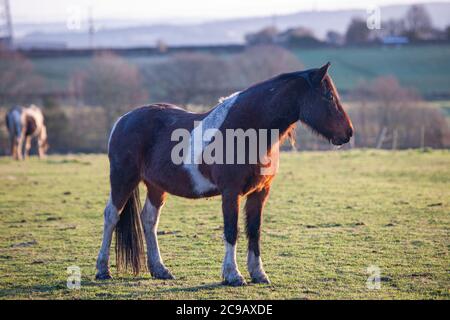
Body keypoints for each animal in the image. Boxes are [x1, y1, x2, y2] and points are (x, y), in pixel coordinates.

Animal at [96, 62, 354, 284]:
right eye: (329, 97)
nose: (348, 132)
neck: (247, 130)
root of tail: (122, 120)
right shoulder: (231, 192)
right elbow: (232, 230)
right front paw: (233, 275)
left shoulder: (260, 193)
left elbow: (254, 231)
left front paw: (258, 274)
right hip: (123, 178)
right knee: (111, 216)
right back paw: (102, 269)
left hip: (156, 187)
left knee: (149, 220)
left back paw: (160, 270)